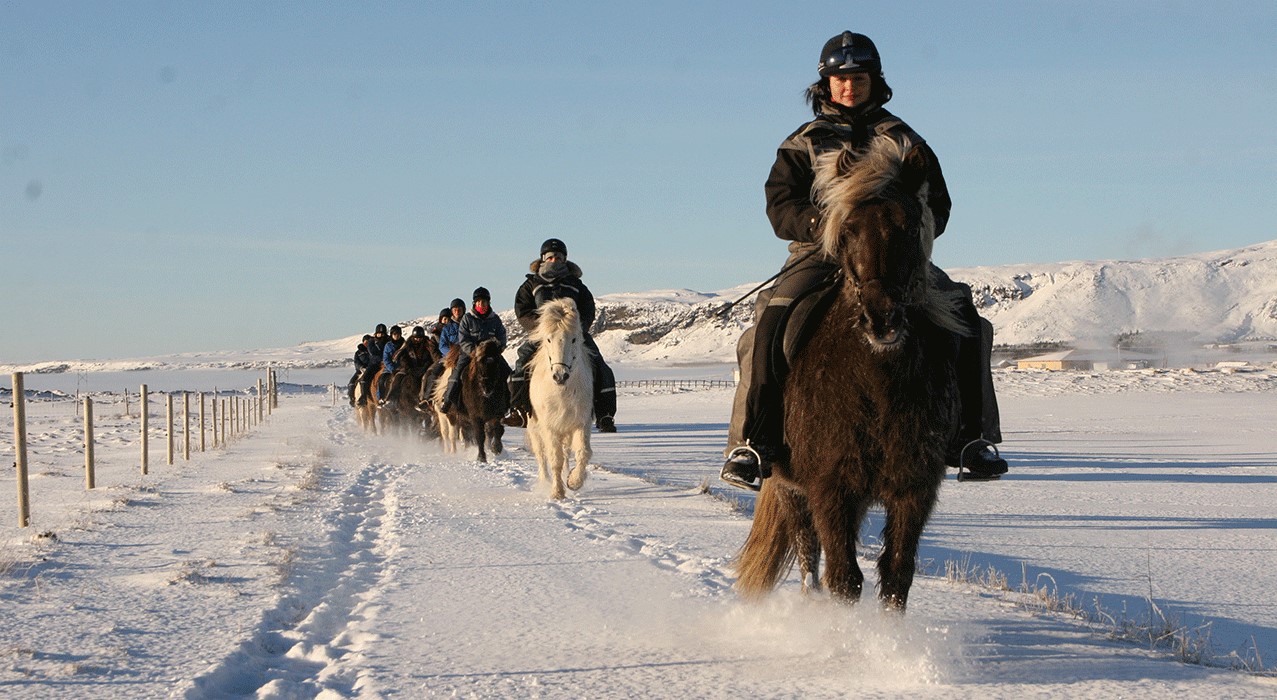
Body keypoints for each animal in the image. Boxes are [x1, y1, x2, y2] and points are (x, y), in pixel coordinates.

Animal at [523, 295, 592, 498]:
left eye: (574, 339)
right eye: (548, 339)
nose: (560, 376)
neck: (563, 392)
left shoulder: (581, 422)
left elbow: (583, 452)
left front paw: (574, 481)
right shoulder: (550, 426)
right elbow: (554, 458)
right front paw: (557, 492)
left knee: (566, 452)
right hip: (535, 426)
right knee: (541, 454)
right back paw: (544, 481)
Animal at [740, 134, 965, 610]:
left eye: (910, 225)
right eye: (846, 231)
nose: (882, 319)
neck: (876, 383)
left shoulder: (914, 488)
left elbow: (896, 575)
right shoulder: (830, 487)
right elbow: (843, 578)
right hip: (789, 486)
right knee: (808, 555)